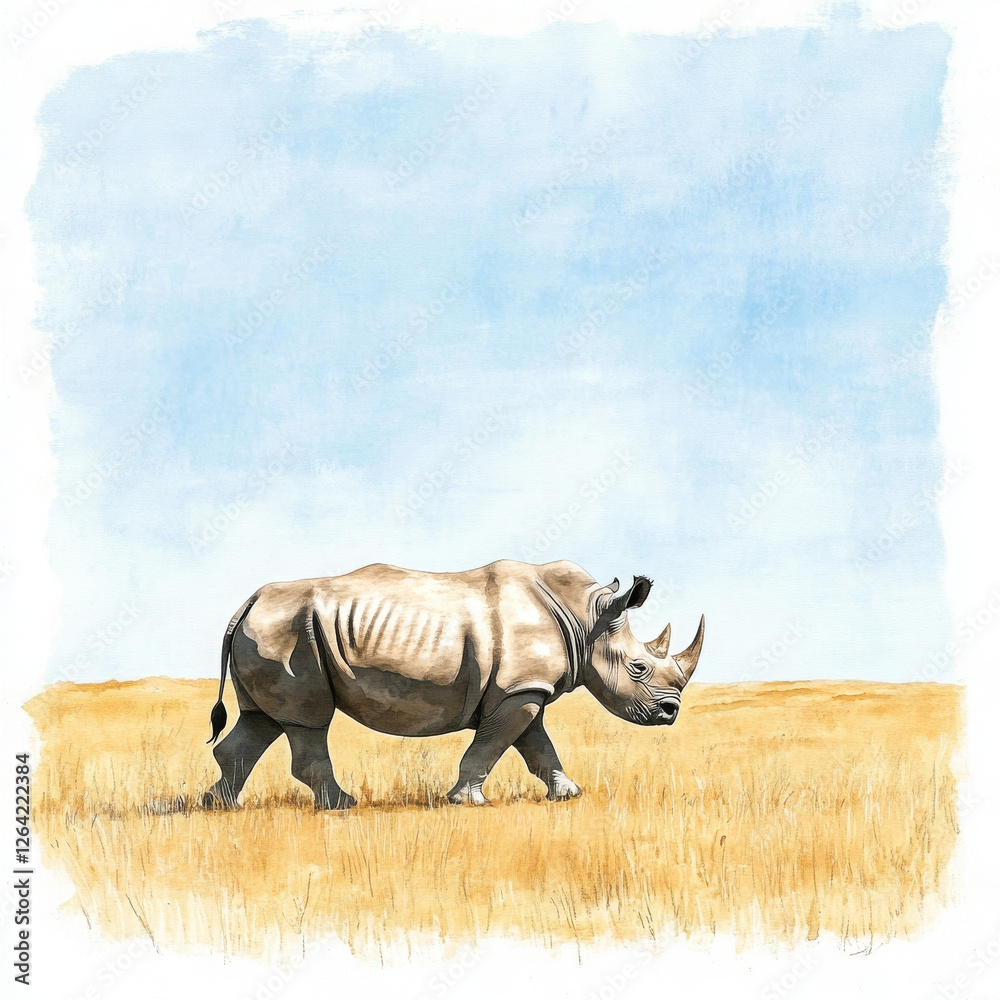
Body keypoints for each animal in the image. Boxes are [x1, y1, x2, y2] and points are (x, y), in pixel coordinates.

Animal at [202, 559, 705, 809]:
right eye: (638, 669)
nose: (670, 713)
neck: (586, 620)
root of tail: (246, 603)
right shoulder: (521, 689)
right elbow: (494, 744)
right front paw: (466, 802)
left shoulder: (524, 689)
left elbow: (538, 746)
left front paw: (567, 795)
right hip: (289, 634)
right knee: (308, 720)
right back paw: (342, 806)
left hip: (275, 632)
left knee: (265, 719)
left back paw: (219, 807)